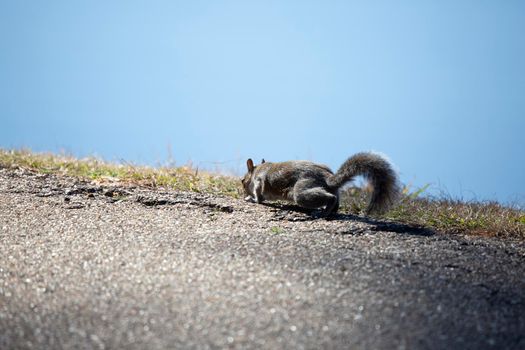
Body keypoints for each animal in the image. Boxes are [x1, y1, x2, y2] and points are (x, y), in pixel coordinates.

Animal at [241, 152, 398, 216]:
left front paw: (251, 199)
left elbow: (259, 196)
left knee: (330, 198)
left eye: (242, 181)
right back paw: (331, 210)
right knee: (336, 198)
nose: (243, 192)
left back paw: (323, 212)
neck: (258, 170)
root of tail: (328, 177)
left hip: (302, 189)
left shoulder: (259, 182)